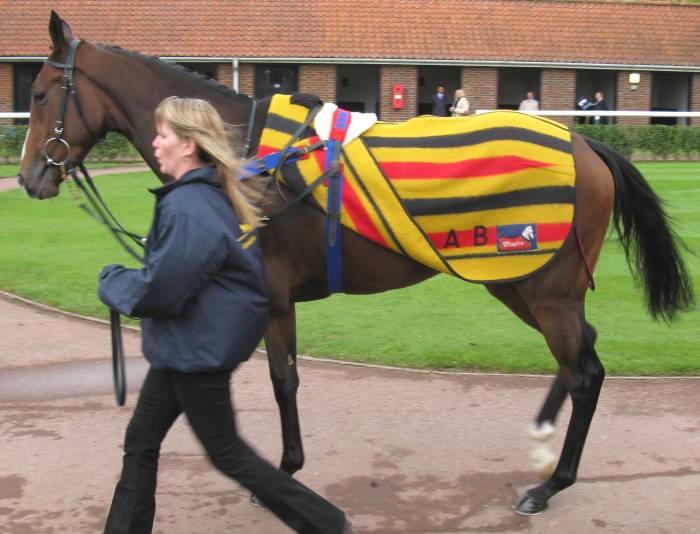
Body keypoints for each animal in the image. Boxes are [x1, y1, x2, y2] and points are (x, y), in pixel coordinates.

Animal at [18, 12, 694, 515]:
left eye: (40, 92)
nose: (28, 178)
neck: (238, 155)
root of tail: (584, 142)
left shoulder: (273, 294)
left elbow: (282, 380)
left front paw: (285, 471)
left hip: (541, 288)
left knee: (585, 373)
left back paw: (550, 484)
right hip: (522, 285)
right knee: (584, 354)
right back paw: (543, 443)